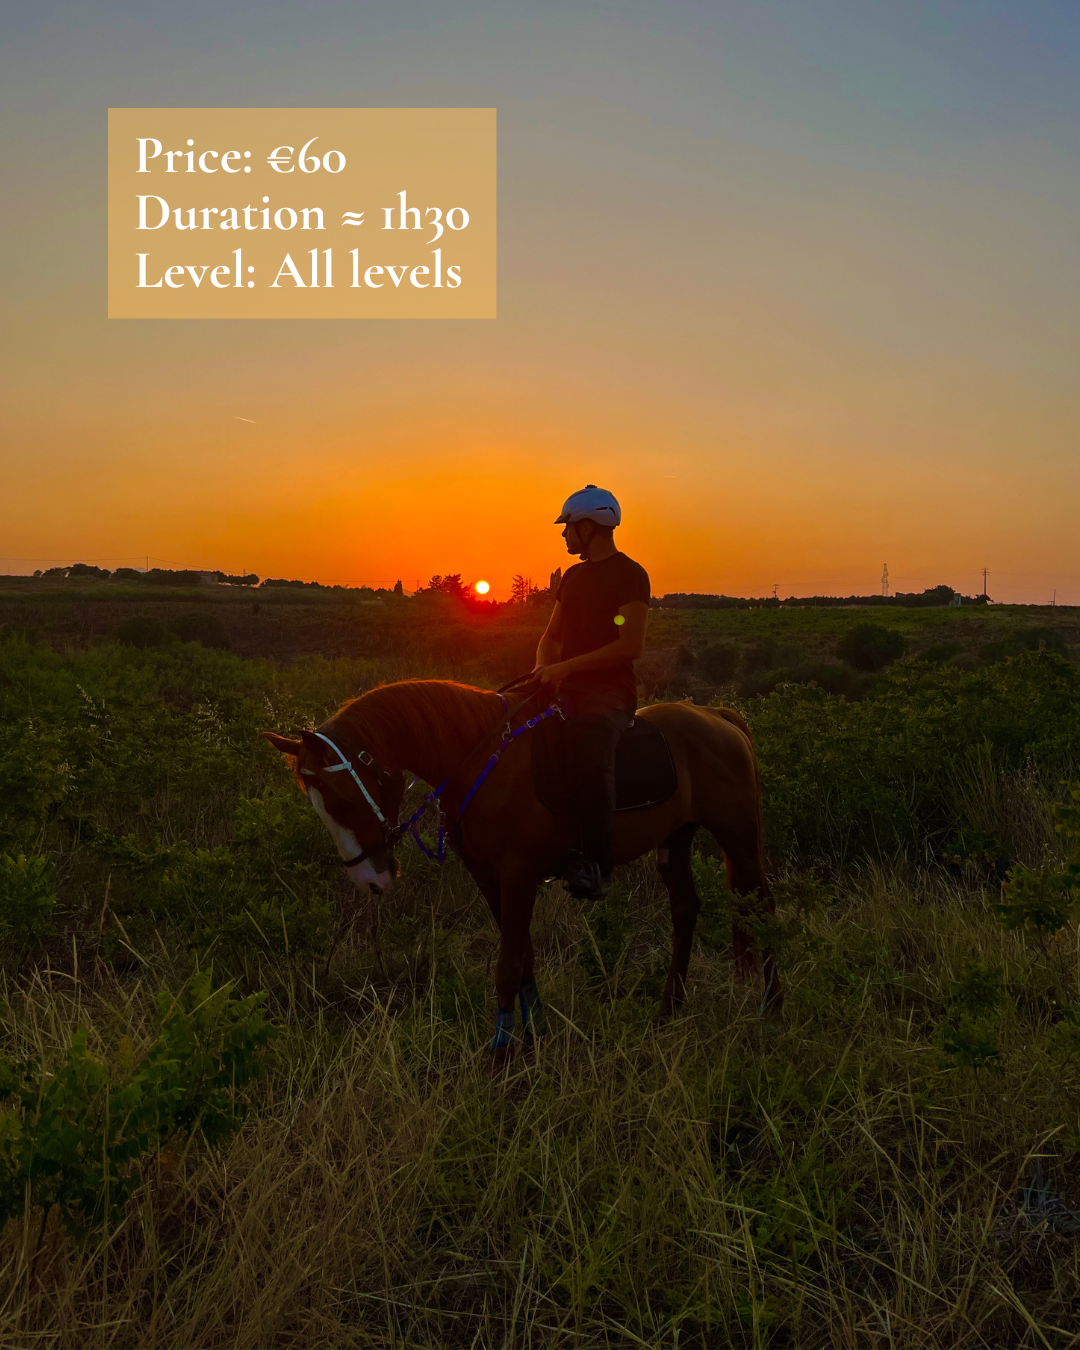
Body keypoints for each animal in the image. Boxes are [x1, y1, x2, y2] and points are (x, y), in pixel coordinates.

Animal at [263, 679, 779, 1053]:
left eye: (343, 798)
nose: (368, 879)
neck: (481, 761)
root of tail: (718, 717)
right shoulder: (490, 879)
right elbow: (524, 957)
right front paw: (534, 1036)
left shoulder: (518, 876)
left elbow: (508, 966)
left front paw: (500, 1054)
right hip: (676, 841)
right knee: (686, 909)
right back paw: (669, 1010)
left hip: (738, 836)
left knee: (763, 908)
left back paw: (770, 1007)